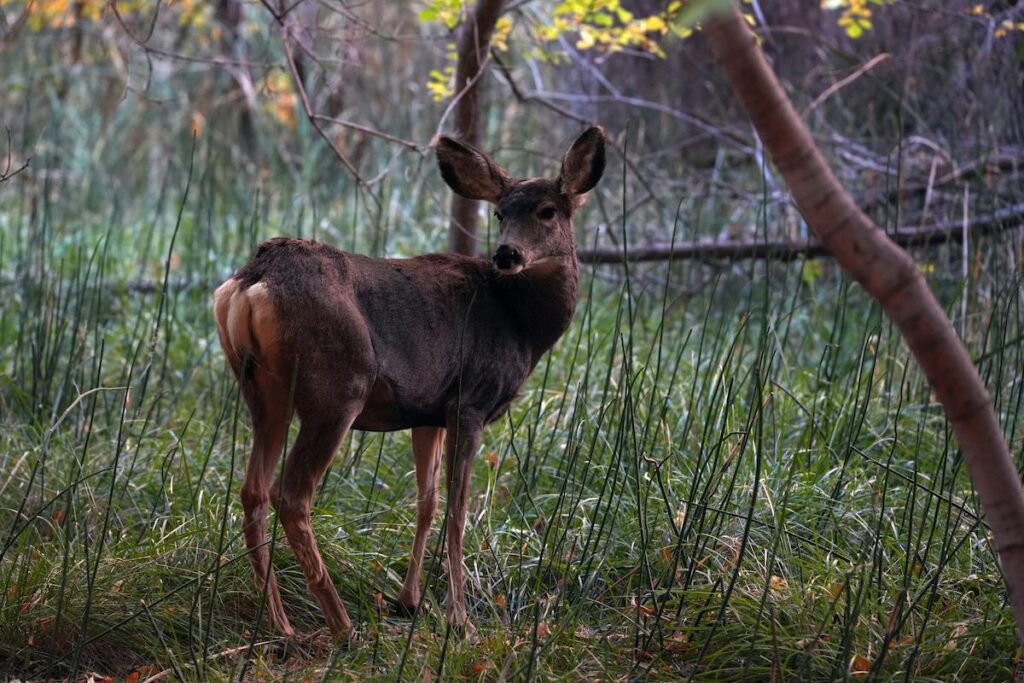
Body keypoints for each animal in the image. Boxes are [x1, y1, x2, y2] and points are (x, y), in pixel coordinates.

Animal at [212, 126, 606, 639]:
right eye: (500, 212)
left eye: (547, 210)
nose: (506, 253)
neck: (521, 325)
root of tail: (253, 278)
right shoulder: (470, 401)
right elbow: (458, 509)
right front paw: (460, 618)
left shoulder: (428, 412)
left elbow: (427, 501)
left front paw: (410, 600)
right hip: (337, 387)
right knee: (292, 495)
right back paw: (343, 626)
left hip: (263, 391)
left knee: (253, 491)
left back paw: (283, 626)